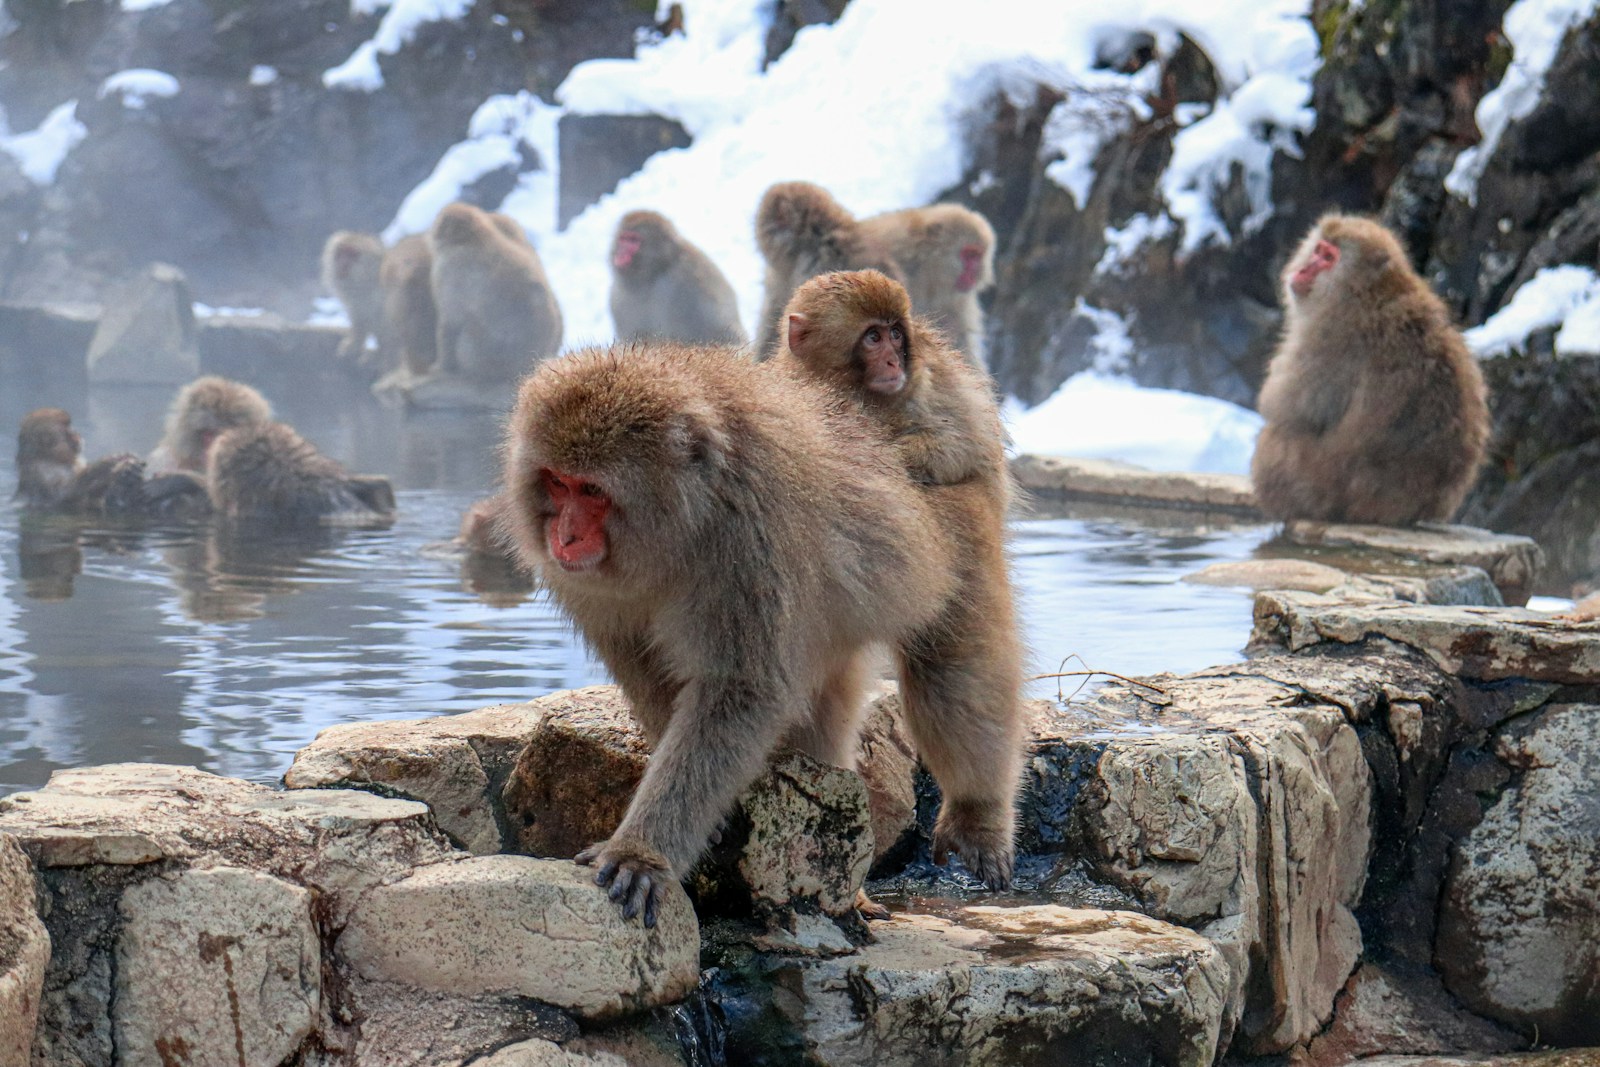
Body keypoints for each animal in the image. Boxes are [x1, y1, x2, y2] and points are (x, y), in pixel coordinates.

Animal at [320, 231, 386, 365]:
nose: (342, 263)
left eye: (352, 254)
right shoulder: (356, 303)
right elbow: (359, 319)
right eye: (341, 252)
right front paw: (353, 344)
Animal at [428, 202, 563, 389]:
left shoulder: (448, 272)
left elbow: (451, 321)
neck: (473, 238)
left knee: (466, 334)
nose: (431, 231)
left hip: (481, 353)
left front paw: (441, 367)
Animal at [500, 342, 1031, 924]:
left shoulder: (752, 538)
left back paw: (977, 815)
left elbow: (741, 690)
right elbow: (647, 671)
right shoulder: (591, 586)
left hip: (963, 518)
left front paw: (643, 853)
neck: (684, 523)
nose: (564, 536)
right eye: (557, 482)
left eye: (592, 489)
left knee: (955, 668)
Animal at [771, 269, 1025, 902]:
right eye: (870, 337)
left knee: (958, 658)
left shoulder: (930, 384)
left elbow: (958, 443)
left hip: (963, 534)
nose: (891, 358)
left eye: (892, 334)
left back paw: (978, 813)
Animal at [1250, 215, 1490, 526]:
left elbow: (1282, 406)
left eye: (1328, 258)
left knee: (1274, 439)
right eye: (1318, 249)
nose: (1302, 270)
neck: (1367, 291)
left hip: (1311, 483)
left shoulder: (1327, 339)